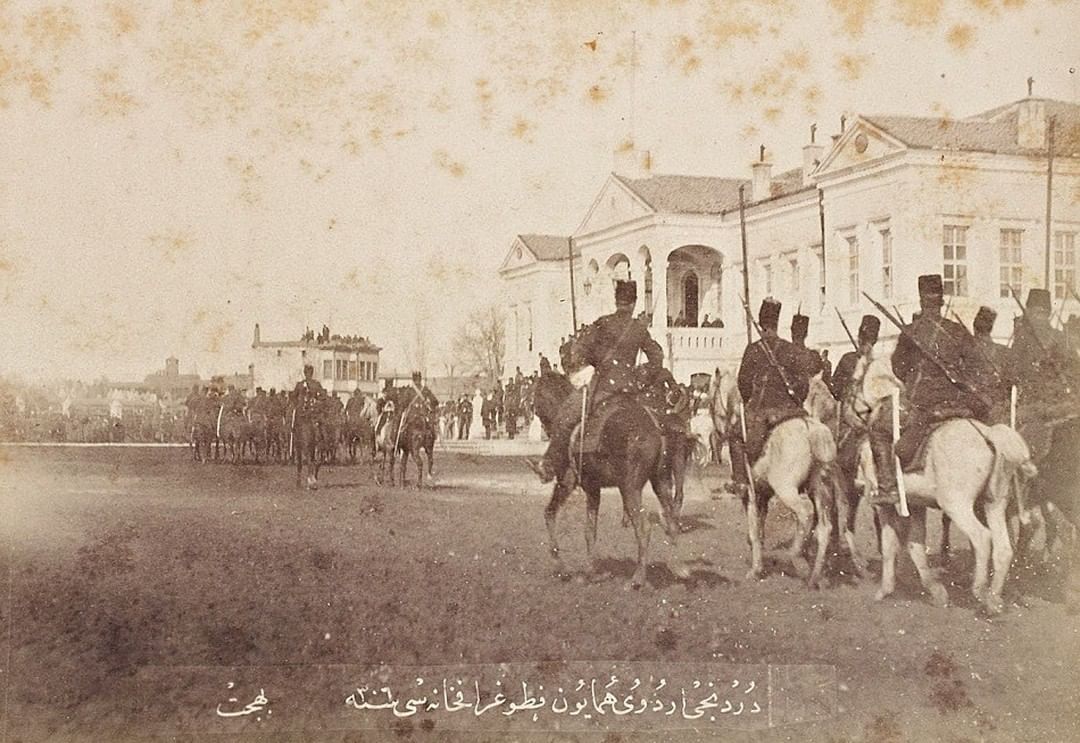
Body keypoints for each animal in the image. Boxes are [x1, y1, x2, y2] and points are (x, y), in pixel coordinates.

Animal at [531, 369, 691, 587]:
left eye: (537, 395)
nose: (537, 417)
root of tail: (657, 427)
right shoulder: (593, 488)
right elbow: (590, 531)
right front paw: (591, 571)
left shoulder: (569, 483)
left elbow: (550, 513)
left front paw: (561, 568)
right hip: (661, 481)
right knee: (672, 520)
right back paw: (678, 567)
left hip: (630, 488)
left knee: (644, 528)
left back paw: (637, 579)